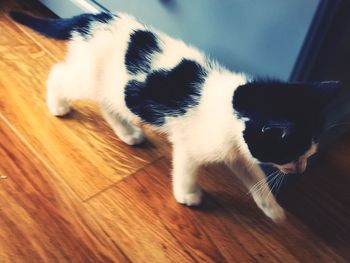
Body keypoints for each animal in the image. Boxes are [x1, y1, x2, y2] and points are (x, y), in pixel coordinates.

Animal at [10, 11, 340, 224]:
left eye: (310, 153)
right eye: (295, 152)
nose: (303, 168)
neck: (233, 105)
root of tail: (92, 18)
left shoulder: (237, 152)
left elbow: (256, 177)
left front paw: (273, 209)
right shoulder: (191, 146)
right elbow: (186, 169)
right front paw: (188, 194)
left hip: (114, 87)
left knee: (108, 103)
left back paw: (128, 133)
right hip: (89, 76)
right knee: (60, 75)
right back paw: (57, 105)